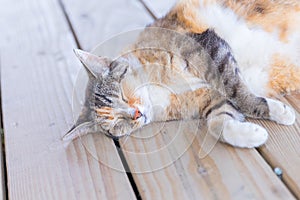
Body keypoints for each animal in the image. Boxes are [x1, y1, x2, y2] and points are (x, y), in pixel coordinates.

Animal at [62, 0, 298, 148]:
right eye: (115, 125)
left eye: (121, 94)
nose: (136, 114)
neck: (157, 92)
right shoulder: (210, 99)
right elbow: (218, 124)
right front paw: (254, 136)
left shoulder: (210, 47)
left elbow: (236, 90)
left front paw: (280, 111)